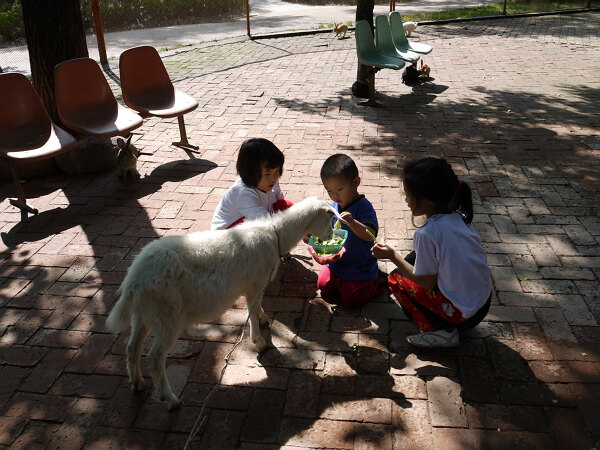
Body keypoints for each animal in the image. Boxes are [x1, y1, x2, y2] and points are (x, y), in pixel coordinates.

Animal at [105, 195, 336, 410]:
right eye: (328, 217)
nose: (330, 237)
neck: (275, 234)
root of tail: (133, 280)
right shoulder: (254, 283)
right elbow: (252, 311)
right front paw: (259, 342)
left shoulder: (257, 285)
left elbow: (258, 306)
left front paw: (263, 319)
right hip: (168, 315)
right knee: (154, 357)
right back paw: (170, 399)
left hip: (143, 314)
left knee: (132, 347)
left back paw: (137, 383)